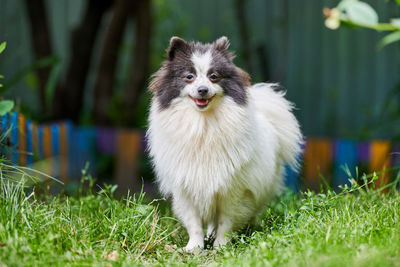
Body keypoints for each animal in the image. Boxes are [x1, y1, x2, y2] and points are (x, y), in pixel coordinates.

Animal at [148, 36, 304, 251]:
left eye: (214, 76)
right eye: (189, 76)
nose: (202, 89)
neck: (203, 124)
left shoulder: (233, 189)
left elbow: (226, 221)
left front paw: (221, 246)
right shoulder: (187, 187)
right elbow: (194, 222)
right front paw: (194, 247)